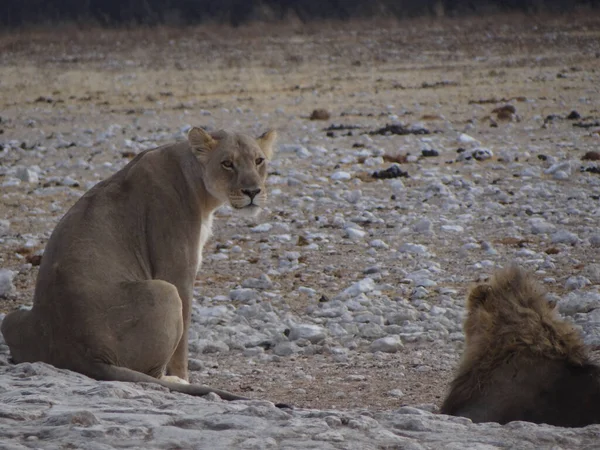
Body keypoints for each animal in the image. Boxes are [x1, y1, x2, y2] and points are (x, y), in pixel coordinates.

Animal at [1, 126, 278, 400]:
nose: (253, 192)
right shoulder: (177, 272)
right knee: (152, 373)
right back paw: (175, 380)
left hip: (11, 318)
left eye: (259, 161)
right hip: (165, 291)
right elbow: (182, 344)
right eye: (227, 163)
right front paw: (184, 376)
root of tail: (83, 355)